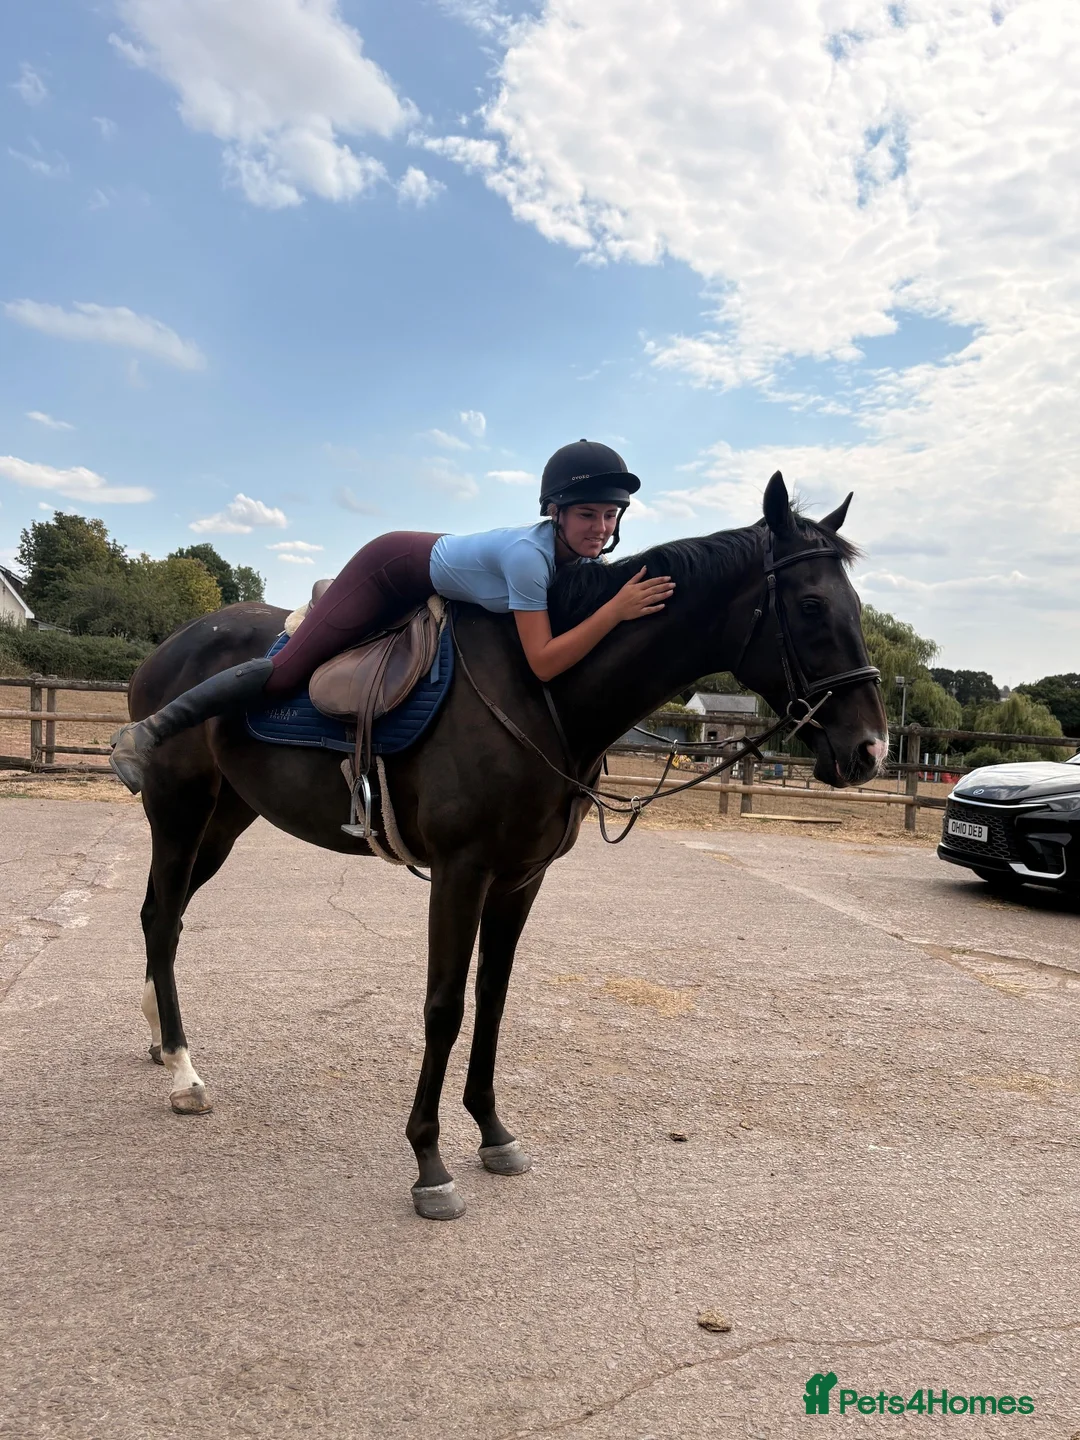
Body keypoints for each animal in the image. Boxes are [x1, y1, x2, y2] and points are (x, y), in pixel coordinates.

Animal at [129, 473, 888, 1220]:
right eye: (812, 604)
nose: (869, 750)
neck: (541, 689)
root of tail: (171, 647)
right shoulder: (461, 872)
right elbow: (444, 1006)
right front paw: (429, 1163)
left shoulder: (521, 877)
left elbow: (492, 996)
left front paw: (493, 1132)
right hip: (180, 811)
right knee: (164, 921)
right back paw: (185, 1071)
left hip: (225, 819)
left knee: (160, 915)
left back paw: (161, 1042)